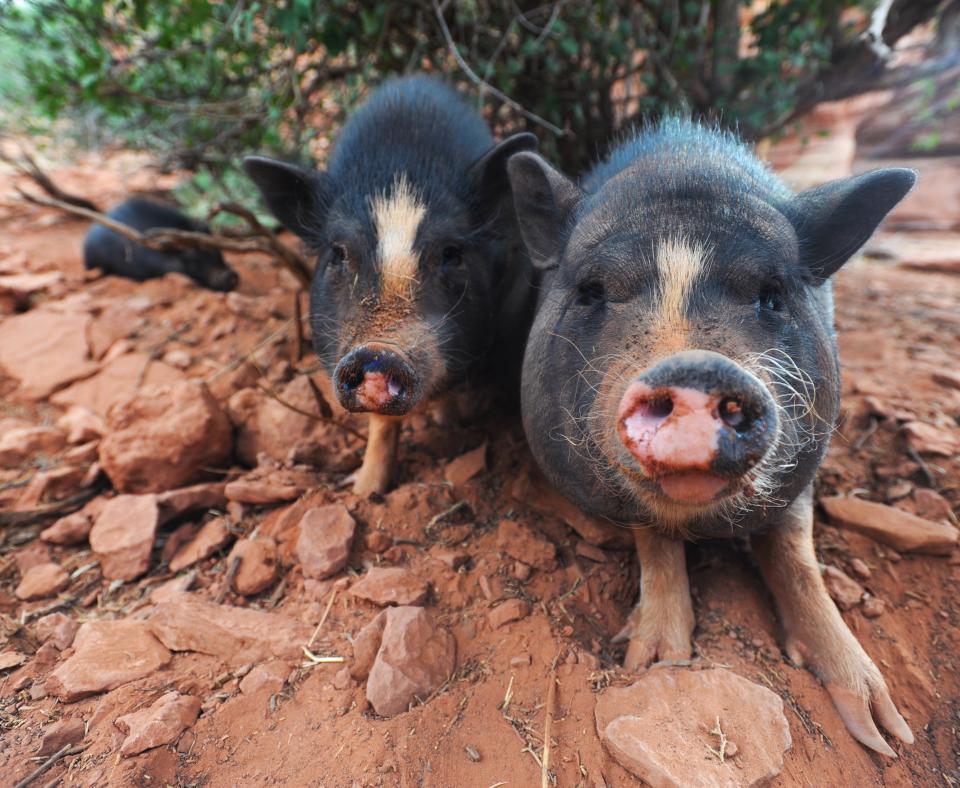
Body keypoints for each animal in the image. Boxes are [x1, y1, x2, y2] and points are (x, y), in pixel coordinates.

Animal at [244, 74, 536, 492]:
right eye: (338, 252)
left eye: (451, 252)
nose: (380, 352)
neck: (401, 166)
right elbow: (382, 426)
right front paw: (366, 491)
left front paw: (451, 423)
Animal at [510, 118, 916, 756]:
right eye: (593, 290)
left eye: (772, 295)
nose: (697, 368)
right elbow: (654, 539)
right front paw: (654, 662)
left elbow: (796, 552)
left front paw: (887, 735)